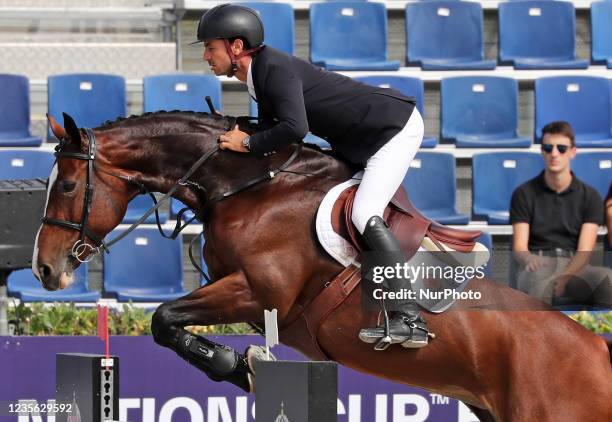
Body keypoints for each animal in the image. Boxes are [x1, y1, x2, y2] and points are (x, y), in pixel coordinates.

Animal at [33, 112, 612, 422]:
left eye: (67, 185)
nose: (45, 270)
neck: (246, 187)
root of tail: (596, 349)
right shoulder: (251, 301)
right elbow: (166, 321)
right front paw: (238, 363)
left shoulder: (260, 292)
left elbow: (163, 319)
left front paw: (236, 366)